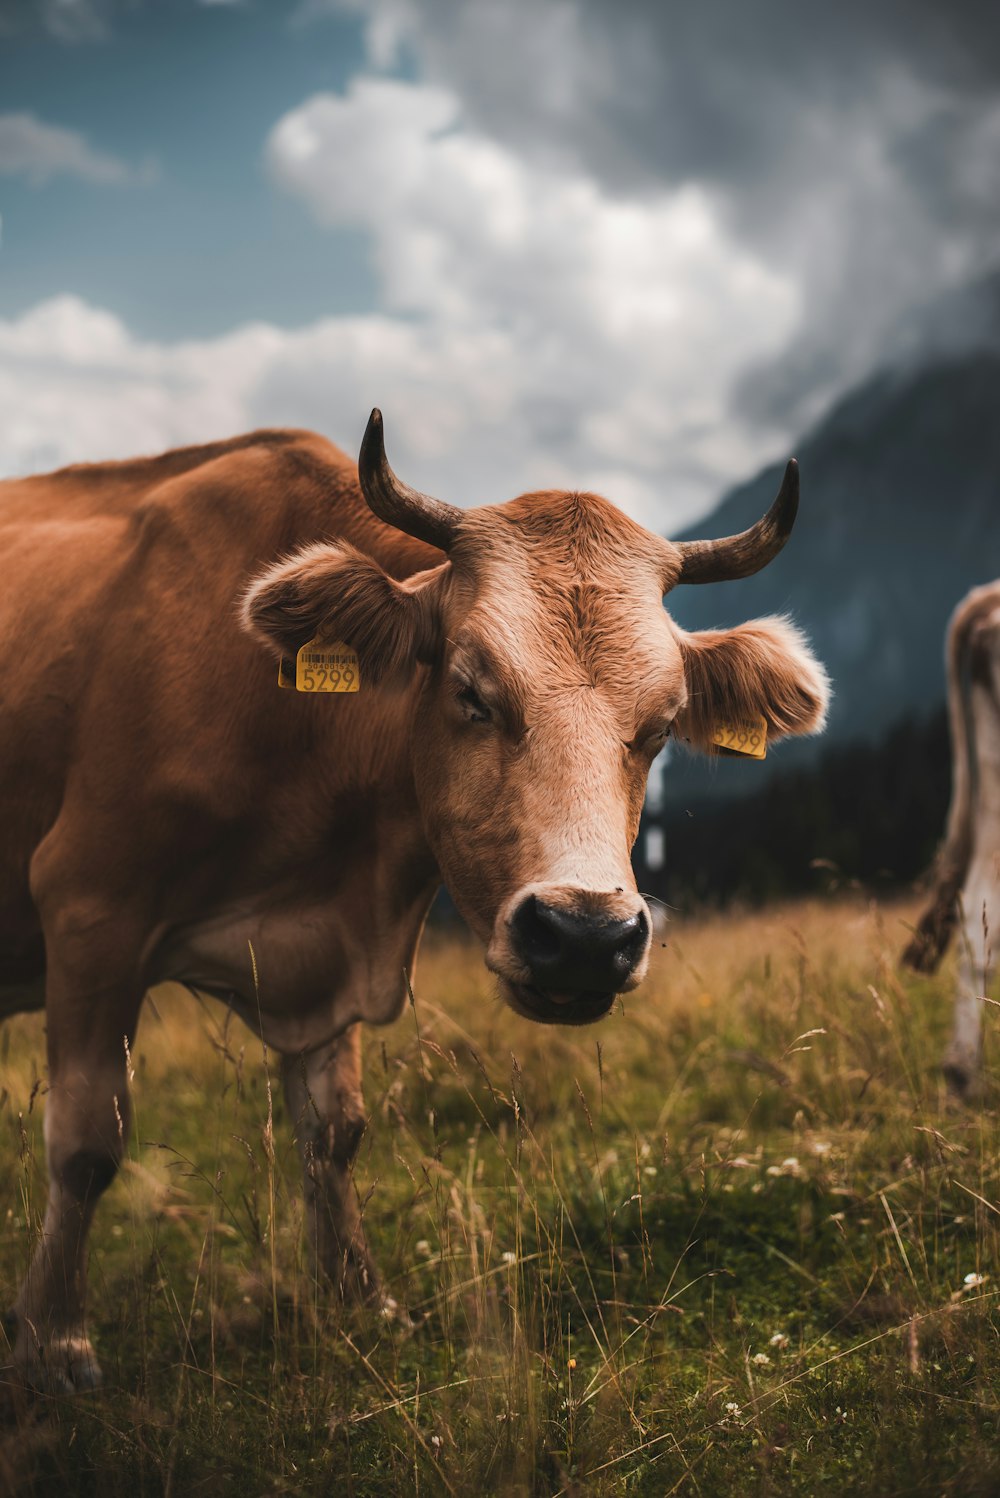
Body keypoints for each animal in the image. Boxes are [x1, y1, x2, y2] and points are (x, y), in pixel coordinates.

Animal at [0, 413, 826, 1390]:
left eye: (661, 725)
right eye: (470, 690)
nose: (586, 934)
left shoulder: (321, 958)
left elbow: (333, 1135)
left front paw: (361, 1303)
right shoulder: (90, 906)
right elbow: (87, 1140)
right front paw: (55, 1339)